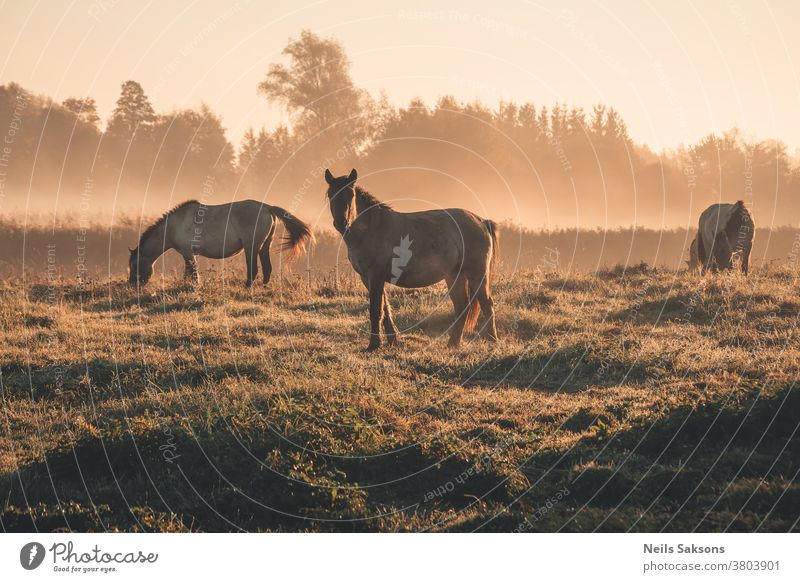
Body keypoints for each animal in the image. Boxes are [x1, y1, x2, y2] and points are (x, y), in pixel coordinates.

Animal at [128, 201, 312, 290]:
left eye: (135, 265)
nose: (131, 285)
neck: (174, 226)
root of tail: (267, 207)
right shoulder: (190, 254)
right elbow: (189, 273)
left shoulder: (188, 253)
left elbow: (192, 273)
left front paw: (193, 287)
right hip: (264, 247)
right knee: (267, 268)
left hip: (251, 248)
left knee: (253, 270)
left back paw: (247, 287)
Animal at [322, 169, 496, 352]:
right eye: (331, 194)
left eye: (351, 194)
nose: (342, 223)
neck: (371, 228)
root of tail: (482, 221)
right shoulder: (368, 278)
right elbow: (385, 308)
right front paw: (393, 339)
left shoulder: (375, 276)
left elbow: (375, 310)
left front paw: (374, 344)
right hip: (455, 276)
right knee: (462, 307)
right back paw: (453, 343)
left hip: (477, 275)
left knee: (486, 304)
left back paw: (491, 340)